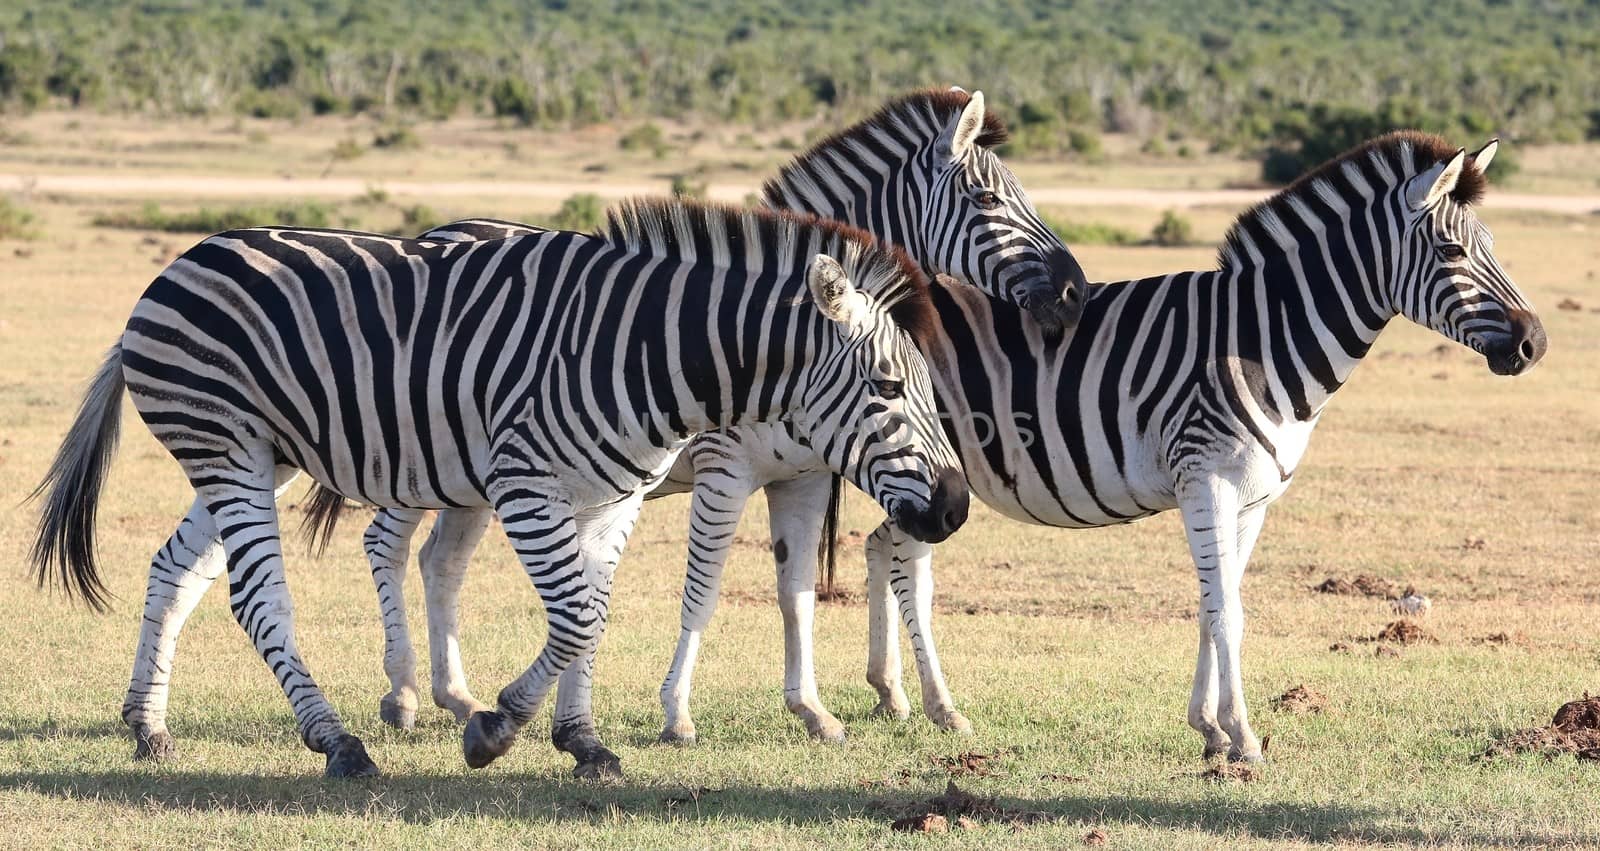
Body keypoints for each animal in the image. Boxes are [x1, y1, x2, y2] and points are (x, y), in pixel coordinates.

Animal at [31, 197, 966, 777]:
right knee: (260, 598)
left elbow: (594, 612)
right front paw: (496, 727)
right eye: (887, 387)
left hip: (255, 455)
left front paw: (582, 739)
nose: (955, 507)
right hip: (224, 443)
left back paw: (148, 724)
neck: (651, 354)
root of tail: (183, 260)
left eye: (931, 388)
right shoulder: (526, 483)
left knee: (174, 568)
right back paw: (338, 740)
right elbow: (578, 614)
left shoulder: (615, 495)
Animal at [292, 86, 1088, 739]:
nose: (1076, 293)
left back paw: (455, 695)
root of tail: (439, 229)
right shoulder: (724, 469)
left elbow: (795, 590)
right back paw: (402, 694)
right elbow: (703, 589)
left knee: (440, 560)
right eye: (986, 201)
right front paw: (676, 712)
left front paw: (811, 709)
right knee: (386, 544)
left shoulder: (799, 476)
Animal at [656, 127, 1542, 758]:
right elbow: (1227, 610)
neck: (1262, 338)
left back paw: (904, 695)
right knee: (897, 556)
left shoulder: (1252, 495)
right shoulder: (1205, 478)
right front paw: (1243, 736)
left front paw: (1210, 726)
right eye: (1454, 251)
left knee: (886, 549)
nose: (1534, 342)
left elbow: (1219, 603)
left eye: (1496, 247)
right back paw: (922, 699)